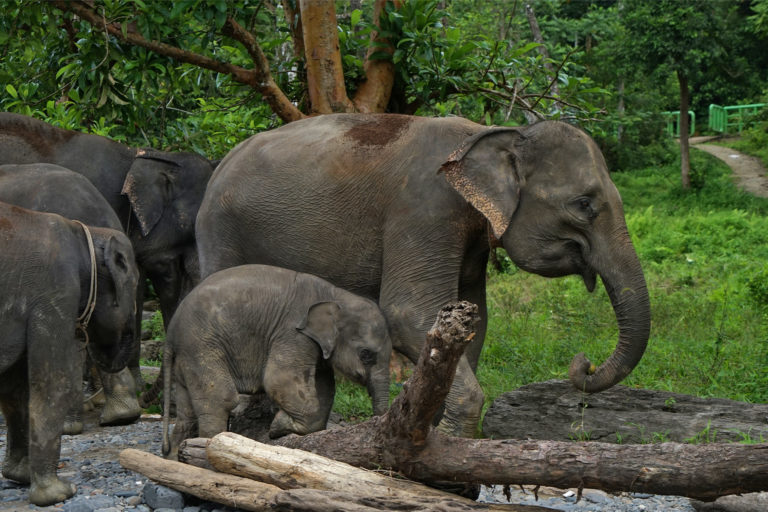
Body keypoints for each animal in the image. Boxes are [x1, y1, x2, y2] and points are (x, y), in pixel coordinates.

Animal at [0, 201, 140, 504]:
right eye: (135, 283)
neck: (83, 232)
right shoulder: (56, 291)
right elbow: (53, 382)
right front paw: (58, 494)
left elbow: (15, 389)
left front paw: (20, 476)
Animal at [160, 264, 390, 456]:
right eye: (366, 354)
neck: (336, 294)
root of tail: (170, 333)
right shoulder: (292, 332)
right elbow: (278, 379)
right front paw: (277, 426)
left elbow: (325, 387)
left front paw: (281, 426)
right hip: (201, 346)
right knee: (221, 400)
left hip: (187, 357)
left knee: (187, 415)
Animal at [196, 114, 648, 438]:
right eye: (585, 204)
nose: (584, 364)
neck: (490, 133)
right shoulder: (425, 208)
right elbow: (407, 311)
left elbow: (474, 319)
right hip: (221, 234)